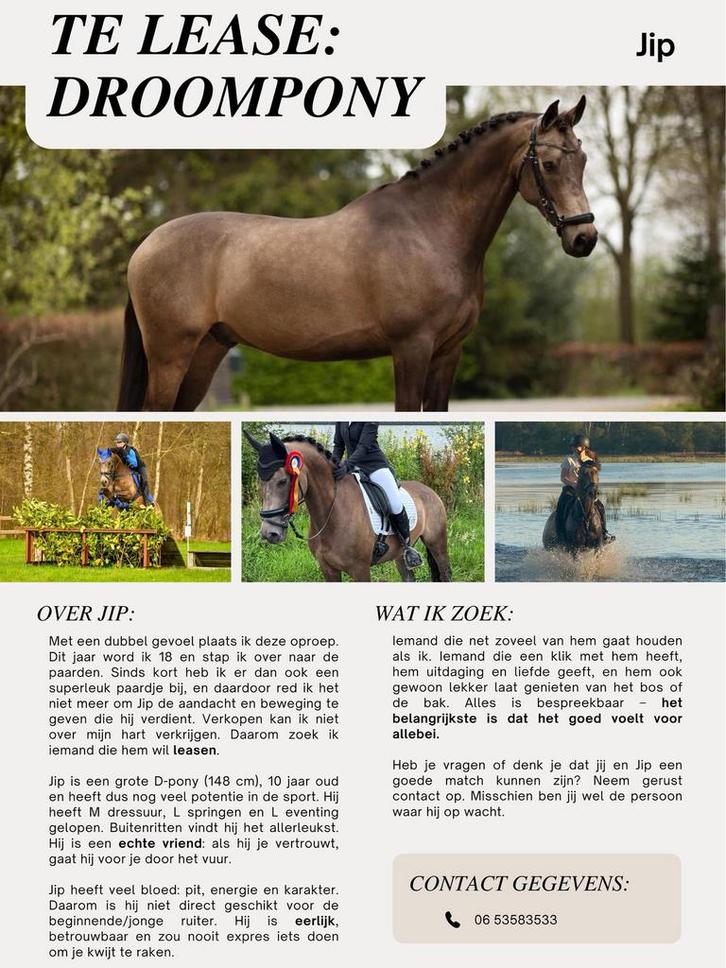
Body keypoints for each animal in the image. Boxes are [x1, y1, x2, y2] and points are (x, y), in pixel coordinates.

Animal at [118, 96, 597, 412]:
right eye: (549, 164)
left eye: (584, 161)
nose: (585, 238)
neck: (428, 228)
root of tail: (146, 244)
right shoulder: (411, 347)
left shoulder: (448, 353)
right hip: (170, 355)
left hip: (205, 352)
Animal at [244, 432, 452, 582]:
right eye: (260, 482)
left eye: (283, 481)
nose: (269, 533)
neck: (331, 513)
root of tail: (429, 491)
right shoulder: (328, 570)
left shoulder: (360, 570)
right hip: (400, 553)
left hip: (437, 543)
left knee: (445, 573)